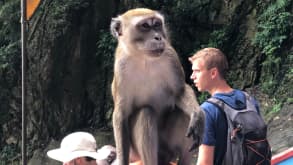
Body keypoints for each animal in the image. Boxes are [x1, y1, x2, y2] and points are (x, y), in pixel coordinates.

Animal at [109, 8, 203, 165]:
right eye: (145, 26)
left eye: (157, 25)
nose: (158, 37)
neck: (144, 58)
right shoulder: (120, 67)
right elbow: (121, 114)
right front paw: (122, 160)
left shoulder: (170, 55)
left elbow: (180, 91)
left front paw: (198, 115)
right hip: (138, 152)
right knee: (146, 113)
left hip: (168, 146)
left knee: (184, 114)